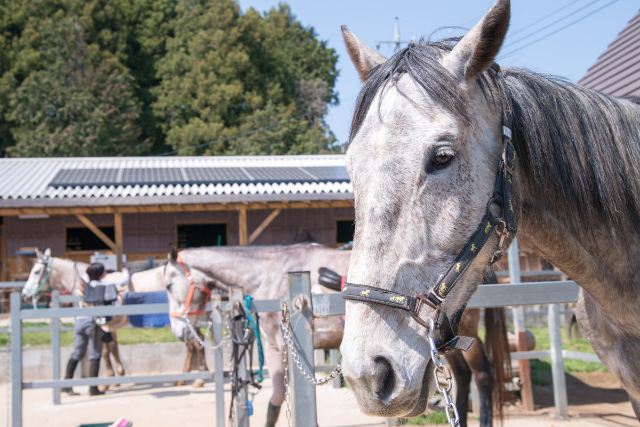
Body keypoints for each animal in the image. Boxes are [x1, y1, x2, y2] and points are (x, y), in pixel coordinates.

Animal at [164, 243, 509, 427]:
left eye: (167, 284)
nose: (178, 331)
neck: (270, 276)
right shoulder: (275, 349)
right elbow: (274, 402)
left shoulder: (284, 348)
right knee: (462, 377)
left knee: (482, 374)